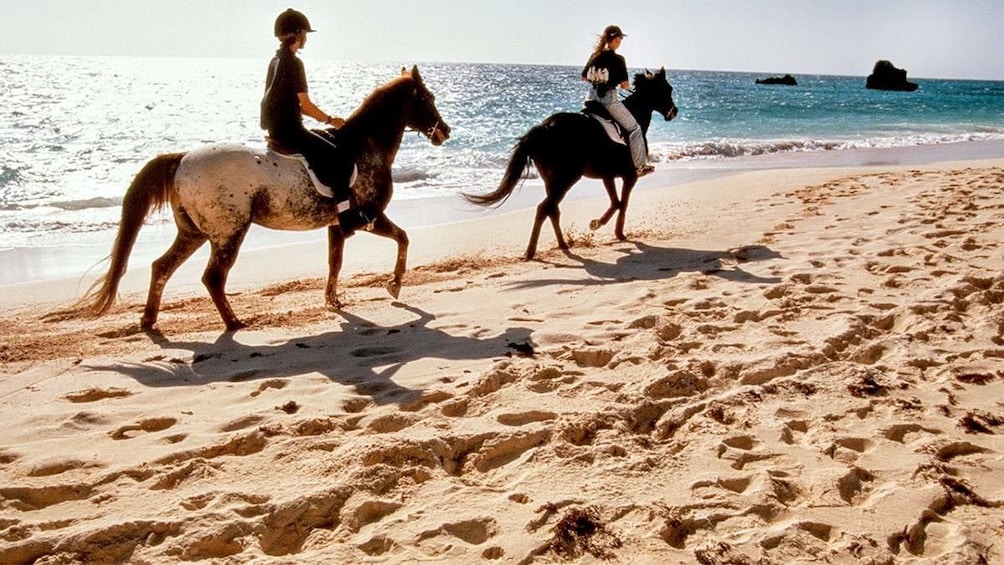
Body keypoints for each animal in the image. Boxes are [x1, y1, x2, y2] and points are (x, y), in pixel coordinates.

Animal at [77, 66, 451, 331]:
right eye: (428, 98)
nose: (445, 132)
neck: (365, 147)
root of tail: (182, 159)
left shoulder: (338, 226)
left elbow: (335, 262)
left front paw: (333, 301)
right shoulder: (368, 216)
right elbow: (403, 238)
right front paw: (395, 285)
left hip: (193, 232)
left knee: (161, 267)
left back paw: (149, 321)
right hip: (228, 232)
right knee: (213, 277)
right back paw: (233, 323)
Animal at [461, 69, 674, 260]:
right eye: (667, 89)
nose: (675, 112)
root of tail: (544, 128)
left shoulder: (608, 176)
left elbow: (616, 202)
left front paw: (599, 224)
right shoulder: (629, 175)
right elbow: (623, 203)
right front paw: (613, 230)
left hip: (552, 181)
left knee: (552, 210)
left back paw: (561, 244)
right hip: (566, 179)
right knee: (545, 208)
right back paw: (531, 251)